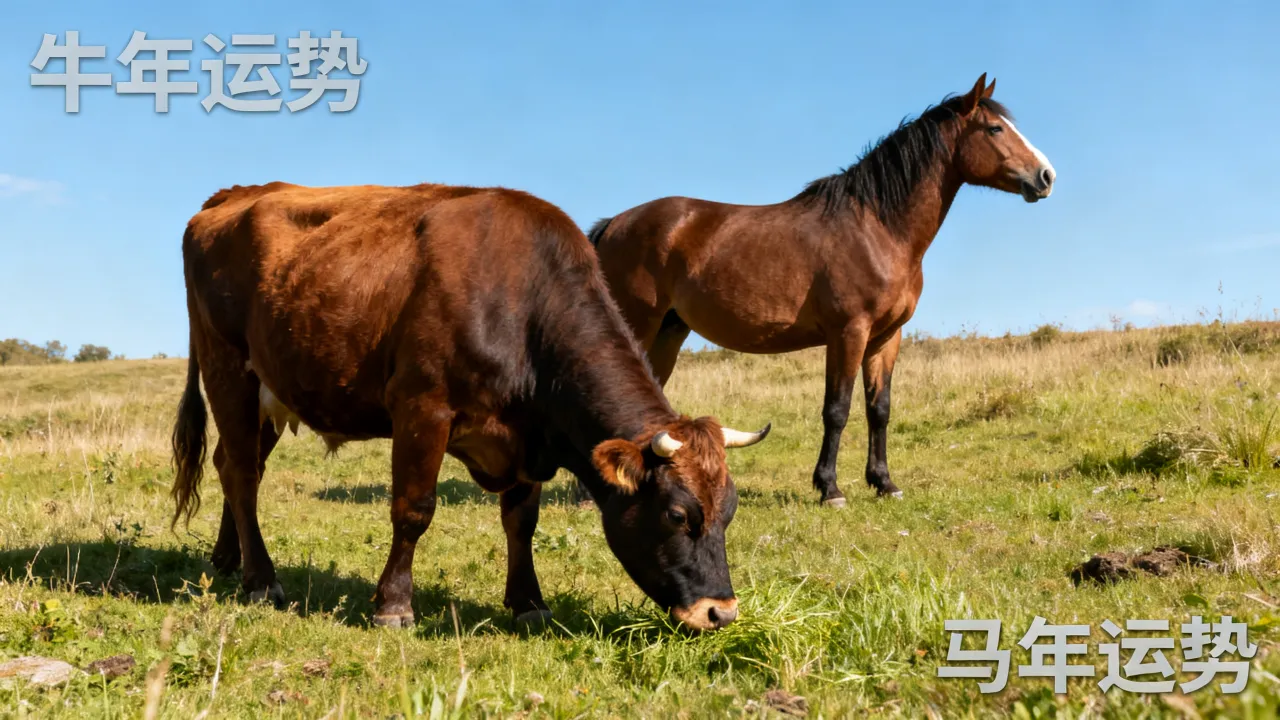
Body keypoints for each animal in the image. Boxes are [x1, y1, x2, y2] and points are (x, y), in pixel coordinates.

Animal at [586, 74, 1054, 506]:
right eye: (994, 129)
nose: (1045, 176)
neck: (877, 228)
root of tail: (613, 225)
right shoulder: (848, 333)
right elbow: (837, 409)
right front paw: (830, 488)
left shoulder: (886, 337)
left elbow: (878, 409)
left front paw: (884, 483)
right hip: (640, 326)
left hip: (669, 331)